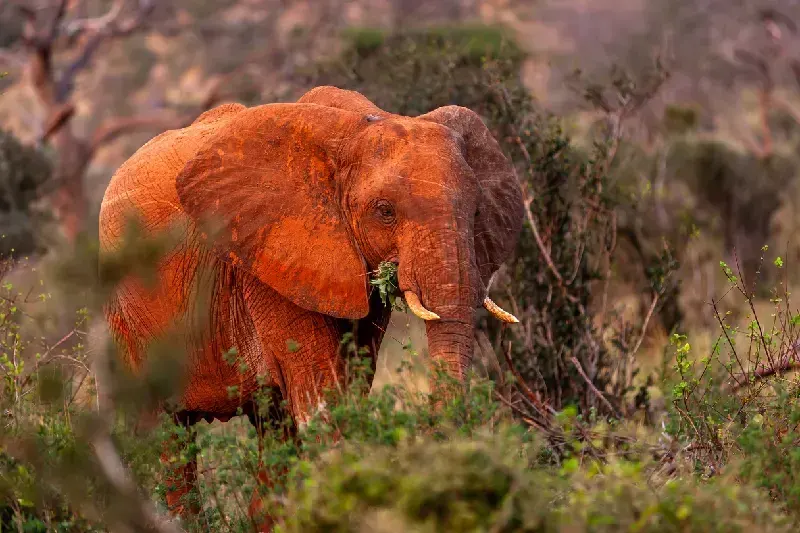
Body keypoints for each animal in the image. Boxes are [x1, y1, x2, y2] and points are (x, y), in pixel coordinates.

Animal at [98, 85, 524, 526]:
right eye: (385, 211)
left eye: (477, 211)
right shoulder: (269, 259)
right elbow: (323, 401)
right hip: (123, 315)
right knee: (163, 434)